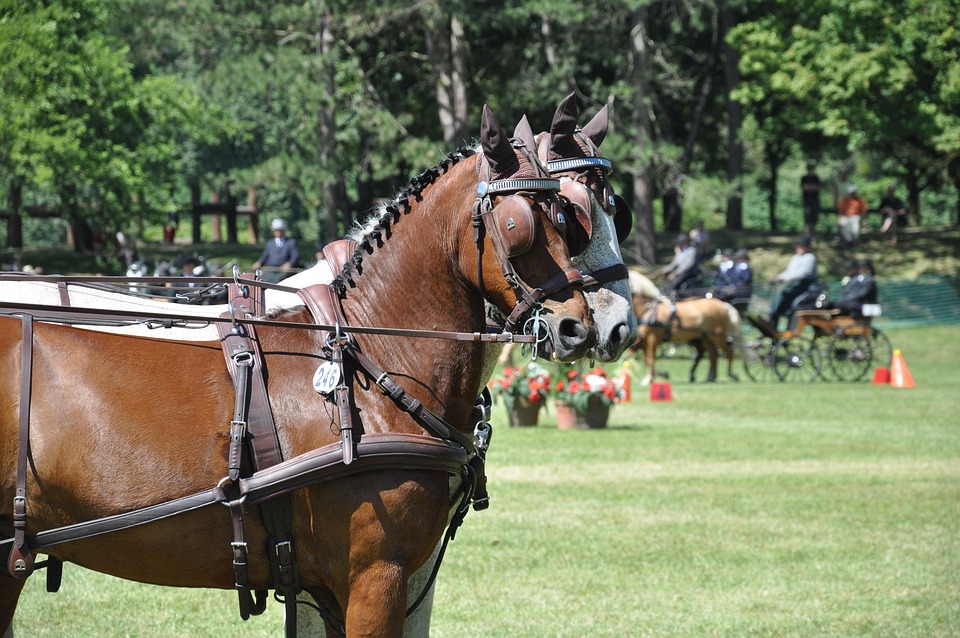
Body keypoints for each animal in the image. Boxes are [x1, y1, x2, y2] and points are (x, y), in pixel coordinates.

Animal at [0, 105, 596, 637]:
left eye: (567, 219)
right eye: (518, 224)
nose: (578, 327)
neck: (372, 359)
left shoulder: (337, 590)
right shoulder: (375, 579)